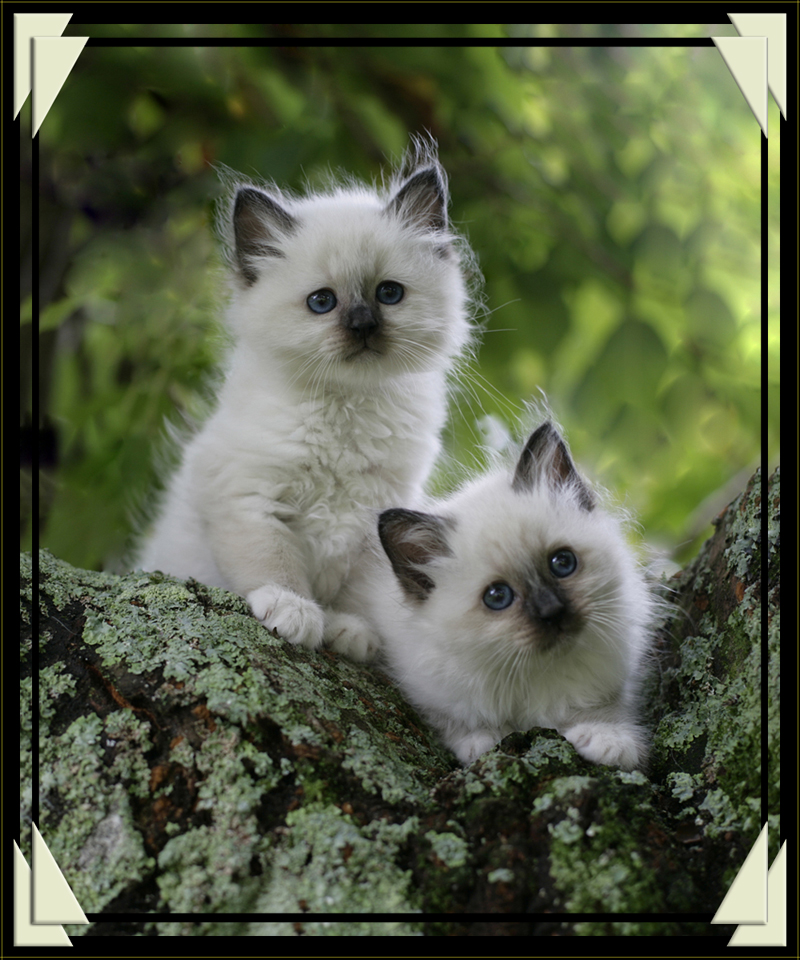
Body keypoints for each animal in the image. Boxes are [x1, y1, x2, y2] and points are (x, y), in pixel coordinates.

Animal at [136, 137, 476, 660]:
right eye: (322, 302)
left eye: (388, 294)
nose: (362, 325)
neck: (346, 410)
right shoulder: (249, 497)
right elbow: (272, 562)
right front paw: (294, 610)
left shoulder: (374, 527)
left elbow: (356, 593)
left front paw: (350, 629)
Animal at [342, 424, 656, 768]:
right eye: (497, 596)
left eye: (562, 563)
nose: (552, 612)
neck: (536, 673)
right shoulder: (427, 687)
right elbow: (455, 721)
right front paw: (482, 741)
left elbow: (610, 708)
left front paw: (608, 739)